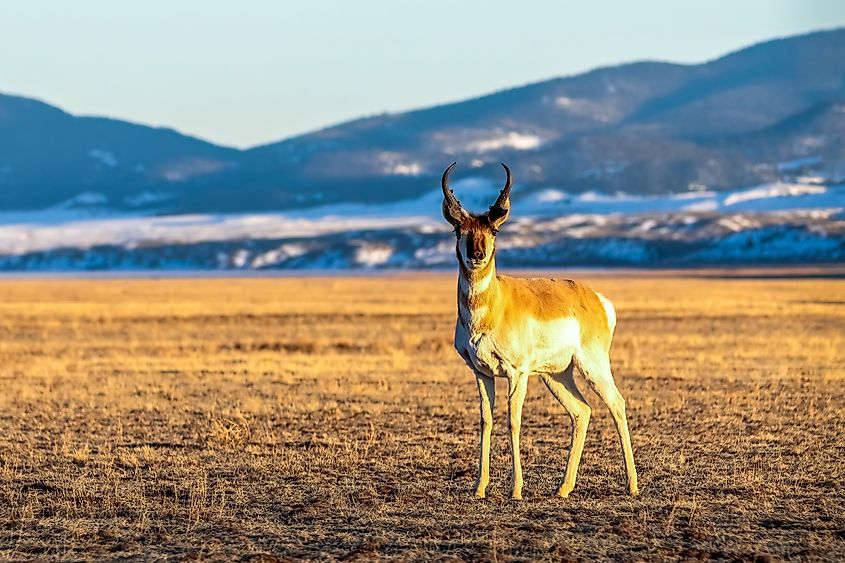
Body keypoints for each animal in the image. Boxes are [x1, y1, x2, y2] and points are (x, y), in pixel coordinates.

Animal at [446, 162, 636, 498]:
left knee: (616, 403)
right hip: (556, 375)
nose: (477, 256)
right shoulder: (481, 372)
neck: (494, 305)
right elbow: (486, 421)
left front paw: (516, 490)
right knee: (582, 411)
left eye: (494, 230)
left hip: (592, 367)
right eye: (459, 229)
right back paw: (563, 488)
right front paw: (480, 487)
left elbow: (514, 421)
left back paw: (632, 485)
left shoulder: (517, 373)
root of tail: (596, 298)